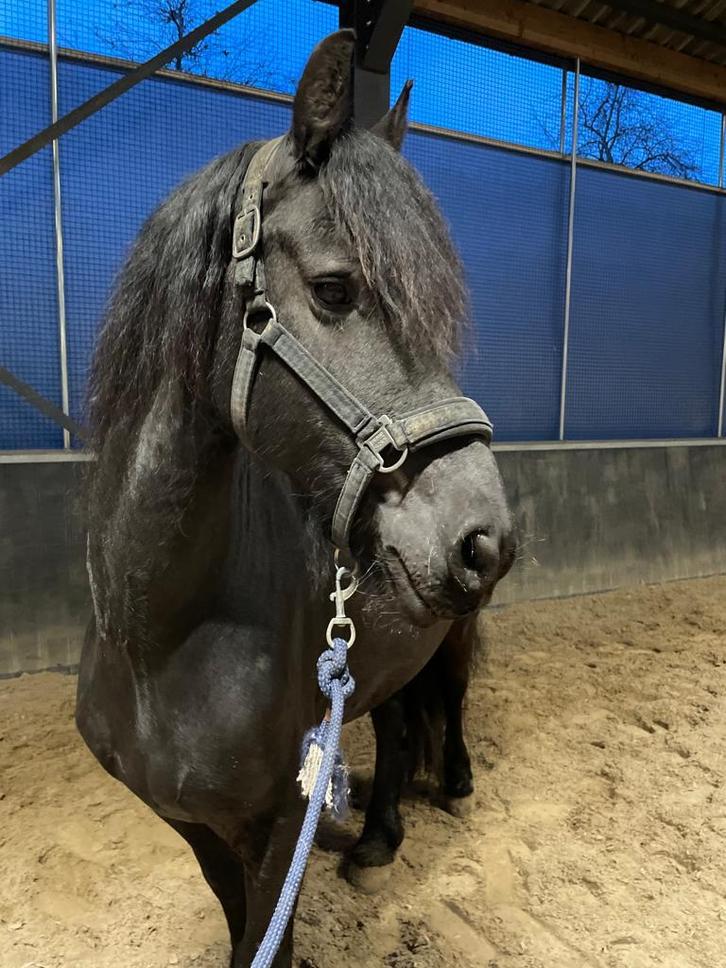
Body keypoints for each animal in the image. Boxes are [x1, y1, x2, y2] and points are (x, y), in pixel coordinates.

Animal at [76, 30, 515, 967]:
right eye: (335, 290)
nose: (485, 541)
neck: (157, 636)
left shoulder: (280, 826)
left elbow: (264, 936)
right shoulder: (194, 825)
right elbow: (237, 919)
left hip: (454, 631)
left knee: (451, 697)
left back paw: (454, 784)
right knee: (396, 720)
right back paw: (379, 838)